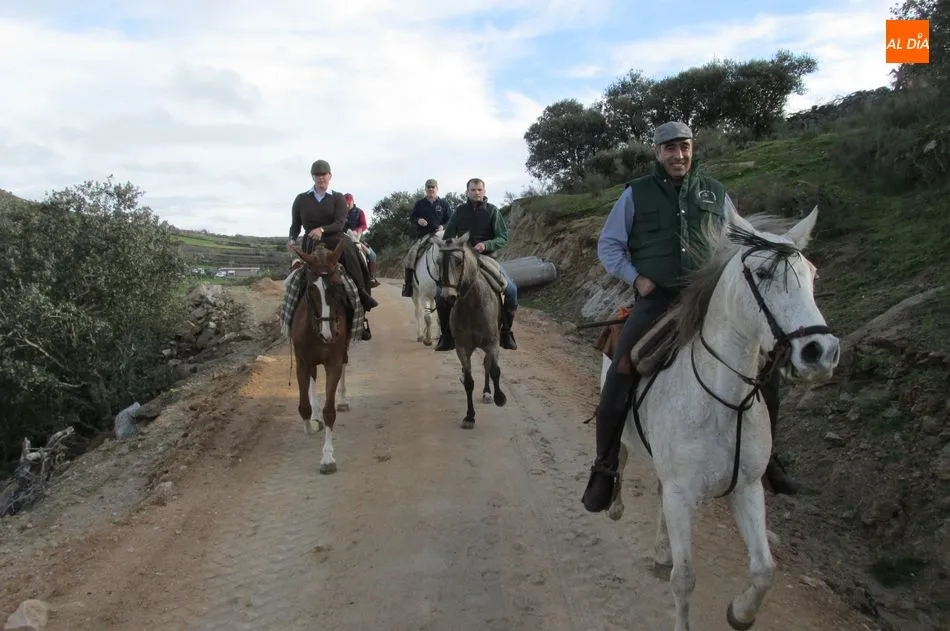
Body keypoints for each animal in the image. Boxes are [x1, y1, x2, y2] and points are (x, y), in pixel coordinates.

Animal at [289, 239, 353, 475]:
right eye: (311, 289)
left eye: (338, 285)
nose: (329, 334)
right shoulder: (302, 362)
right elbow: (304, 407)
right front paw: (313, 423)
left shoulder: (333, 362)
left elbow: (329, 412)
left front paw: (327, 458)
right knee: (313, 380)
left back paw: (342, 400)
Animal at [437, 232, 508, 429]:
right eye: (438, 262)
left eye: (459, 261)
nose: (448, 298)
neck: (472, 305)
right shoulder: (462, 348)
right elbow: (469, 382)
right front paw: (469, 416)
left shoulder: (492, 343)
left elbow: (494, 370)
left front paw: (499, 398)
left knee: (487, 365)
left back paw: (488, 393)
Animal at [602, 205, 839, 631]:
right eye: (762, 273)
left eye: (812, 274)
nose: (820, 352)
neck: (724, 404)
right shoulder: (682, 494)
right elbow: (684, 579)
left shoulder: (746, 489)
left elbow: (764, 571)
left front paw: (740, 613)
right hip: (622, 429)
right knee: (622, 456)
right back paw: (612, 503)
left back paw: (662, 548)